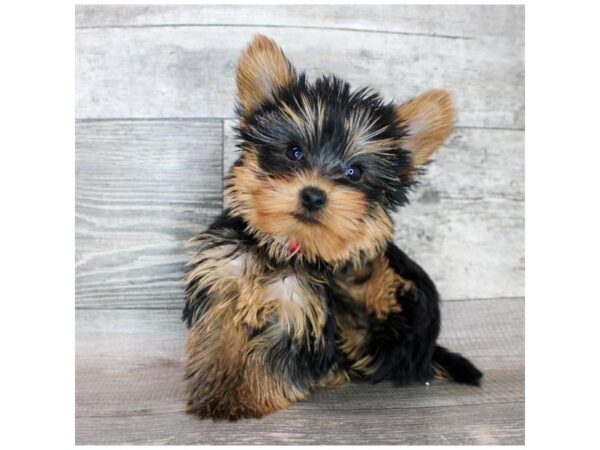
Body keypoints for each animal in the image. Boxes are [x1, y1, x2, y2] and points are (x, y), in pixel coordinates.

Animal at [183, 34, 482, 418]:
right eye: (293, 152)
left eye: (355, 172)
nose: (313, 195)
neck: (283, 246)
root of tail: (427, 351)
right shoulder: (223, 283)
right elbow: (217, 342)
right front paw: (216, 390)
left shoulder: (296, 312)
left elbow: (273, 361)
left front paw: (246, 397)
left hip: (402, 314)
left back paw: (358, 279)